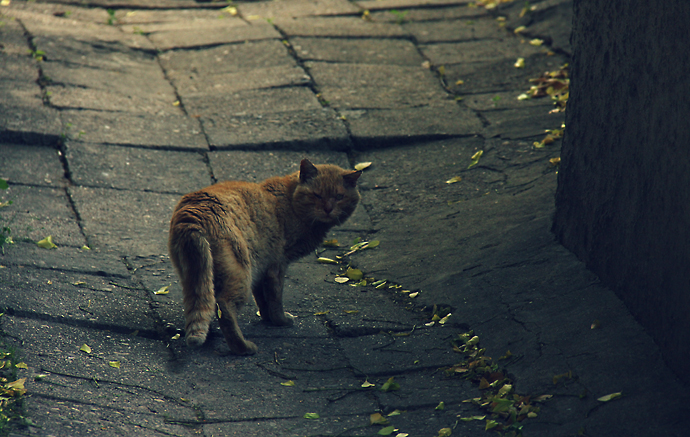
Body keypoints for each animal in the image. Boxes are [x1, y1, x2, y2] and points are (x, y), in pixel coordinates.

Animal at [168, 158, 360, 352]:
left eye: (339, 197)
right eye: (317, 195)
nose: (328, 209)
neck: (290, 201)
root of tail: (193, 219)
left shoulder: (261, 267)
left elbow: (262, 299)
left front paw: (268, 319)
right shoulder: (277, 266)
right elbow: (275, 299)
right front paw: (280, 321)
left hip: (197, 275)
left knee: (203, 302)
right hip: (240, 274)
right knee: (224, 308)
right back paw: (244, 348)